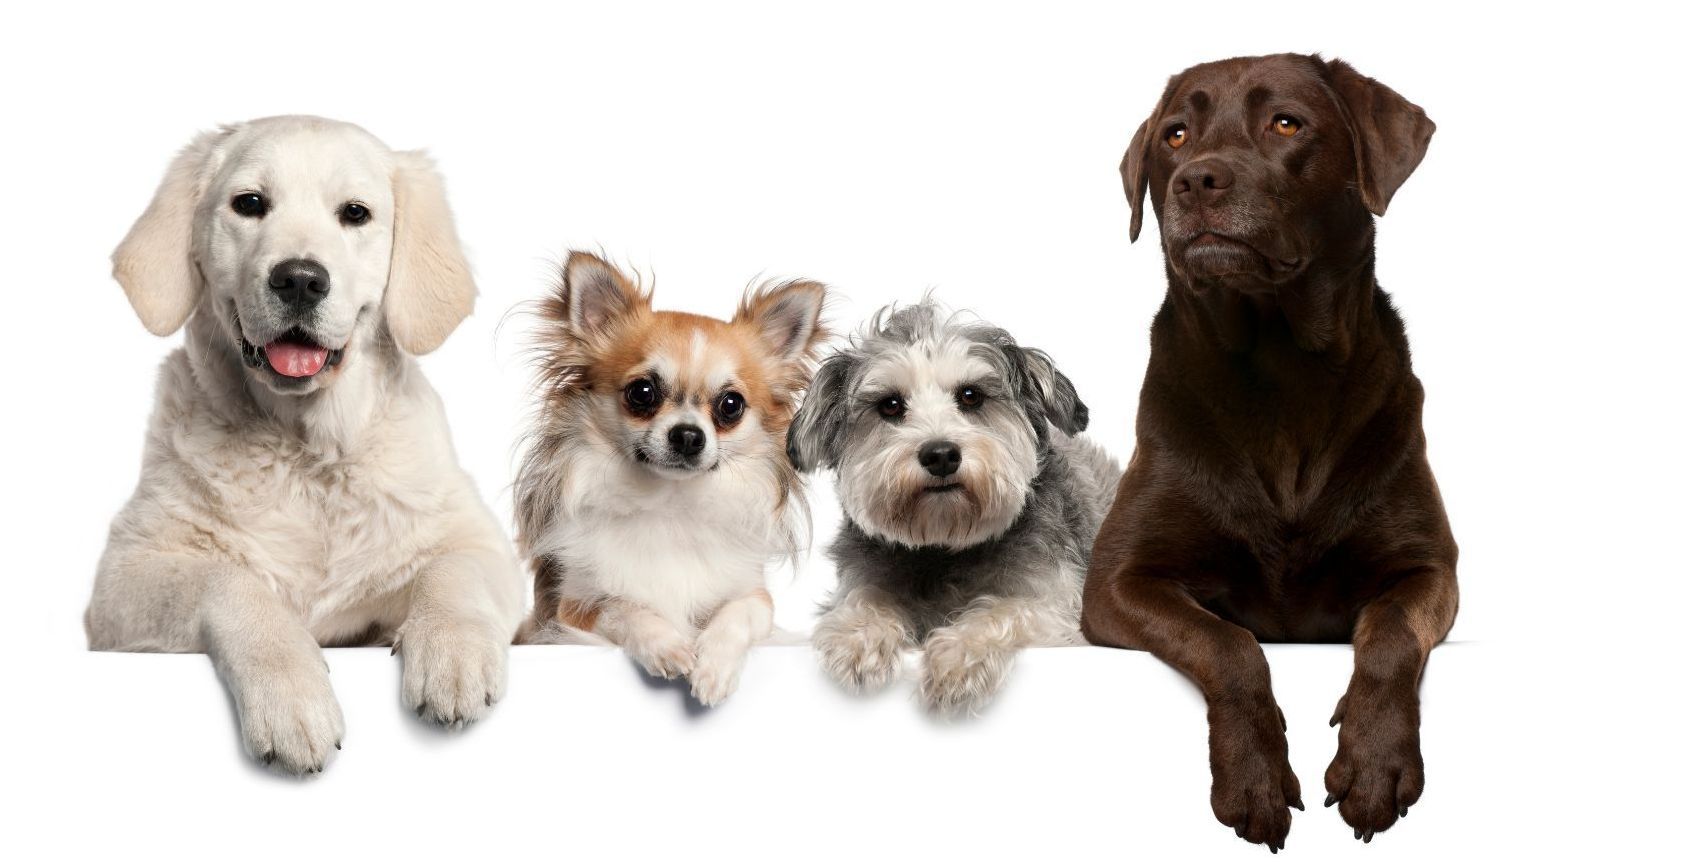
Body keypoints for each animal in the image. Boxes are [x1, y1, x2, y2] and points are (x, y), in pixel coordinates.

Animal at [84, 115, 521, 771]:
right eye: (249, 204)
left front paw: (453, 655)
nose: (299, 278)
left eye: (355, 213)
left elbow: (453, 571)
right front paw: (291, 698)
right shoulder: (123, 579)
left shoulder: (483, 545)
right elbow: (231, 581)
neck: (306, 453)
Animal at [791, 301, 1123, 714]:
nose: (940, 454)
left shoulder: (1060, 608)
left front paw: (958, 658)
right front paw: (858, 635)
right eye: (890, 405)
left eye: (970, 395)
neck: (945, 548)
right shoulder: (861, 579)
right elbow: (863, 600)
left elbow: (1004, 611)